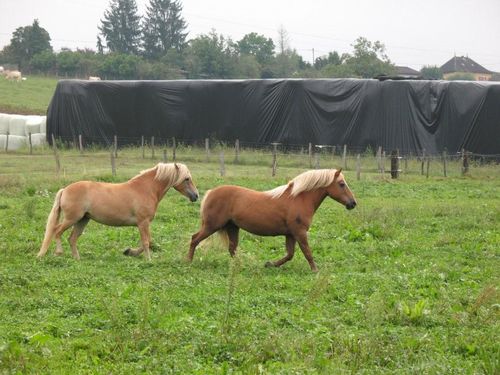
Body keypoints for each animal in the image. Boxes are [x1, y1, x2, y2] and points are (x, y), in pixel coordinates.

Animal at [37, 163, 197, 262]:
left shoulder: (144, 224)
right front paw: (148, 259)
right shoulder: (143, 223)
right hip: (72, 218)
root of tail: (65, 189)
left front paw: (129, 252)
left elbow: (149, 241)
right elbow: (146, 242)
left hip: (83, 220)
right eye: (187, 178)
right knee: (57, 231)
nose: (196, 196)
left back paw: (77, 259)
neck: (145, 189)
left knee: (72, 238)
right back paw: (59, 252)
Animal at [188, 169, 356, 272]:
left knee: (232, 248)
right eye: (342, 184)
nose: (353, 203)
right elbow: (307, 252)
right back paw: (188, 261)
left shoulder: (290, 234)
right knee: (195, 239)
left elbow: (289, 255)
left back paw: (240, 266)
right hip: (212, 226)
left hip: (232, 227)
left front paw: (269, 264)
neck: (299, 198)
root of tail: (211, 192)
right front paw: (315, 270)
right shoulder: (300, 232)